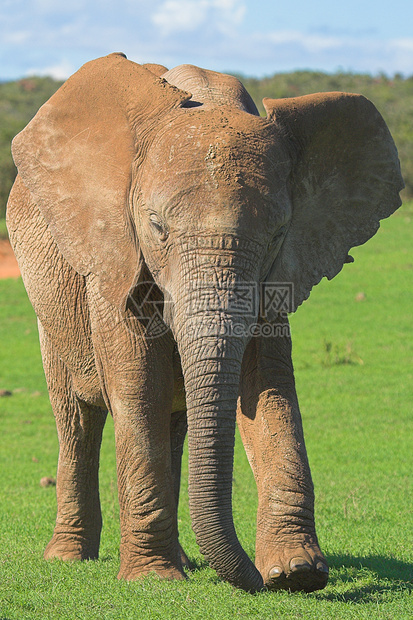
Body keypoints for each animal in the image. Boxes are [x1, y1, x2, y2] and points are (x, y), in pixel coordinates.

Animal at [6, 52, 402, 592]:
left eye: (278, 232)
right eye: (156, 226)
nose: (257, 579)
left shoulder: (276, 273)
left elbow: (267, 383)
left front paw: (297, 572)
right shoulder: (114, 259)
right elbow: (138, 382)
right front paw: (152, 581)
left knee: (173, 423)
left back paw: (182, 560)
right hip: (50, 308)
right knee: (77, 416)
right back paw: (69, 559)